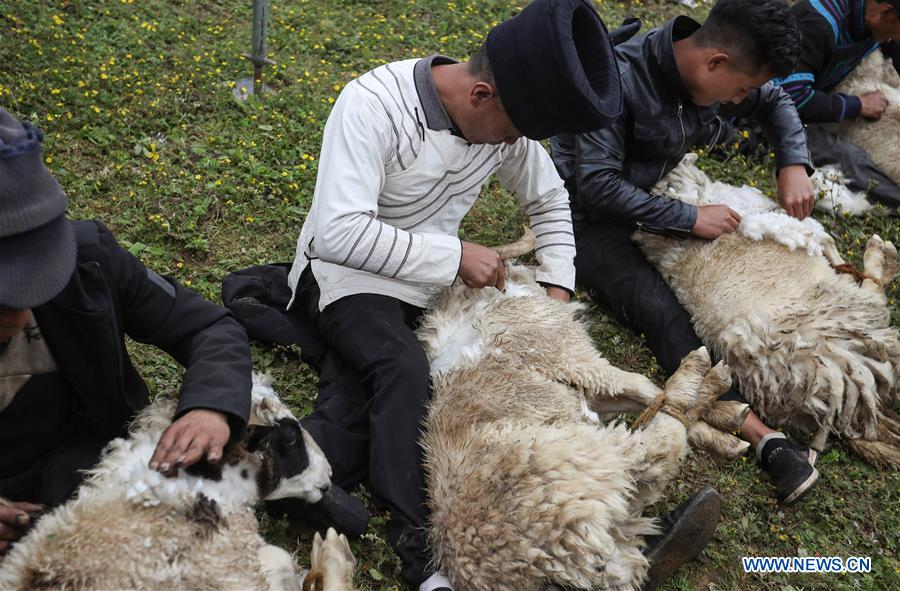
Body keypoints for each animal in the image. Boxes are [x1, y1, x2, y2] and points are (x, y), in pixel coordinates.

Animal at [418, 235, 748, 591]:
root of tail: (544, 566)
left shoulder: (586, 383)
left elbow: (641, 395)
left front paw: (716, 424)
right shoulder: (571, 358)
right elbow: (644, 387)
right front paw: (723, 418)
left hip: (613, 531)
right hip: (582, 462)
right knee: (658, 446)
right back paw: (698, 375)